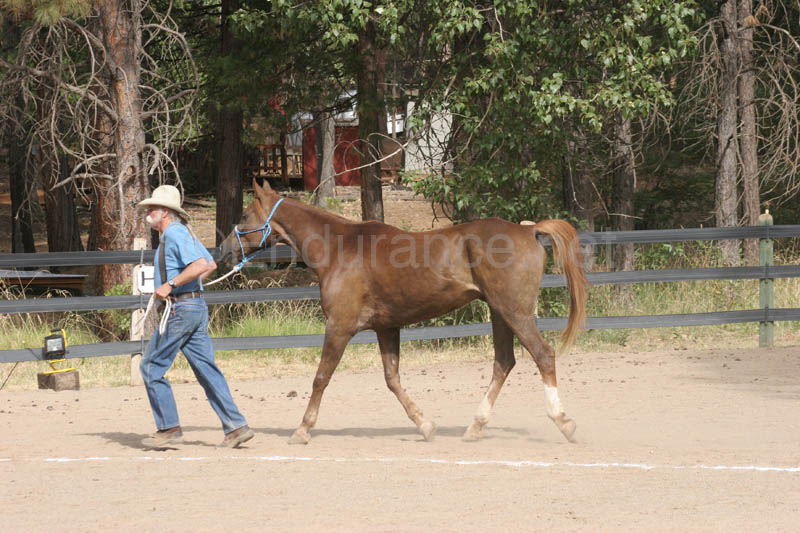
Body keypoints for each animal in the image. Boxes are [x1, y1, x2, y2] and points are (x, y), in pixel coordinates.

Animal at [219, 181, 588, 442]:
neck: (340, 248)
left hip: (515, 312)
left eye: (245, 216)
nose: (223, 248)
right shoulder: (387, 328)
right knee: (504, 363)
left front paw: (302, 429)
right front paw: (425, 425)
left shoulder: (339, 326)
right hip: (500, 313)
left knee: (542, 355)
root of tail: (528, 229)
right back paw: (475, 427)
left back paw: (565, 423)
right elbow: (392, 379)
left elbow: (321, 377)